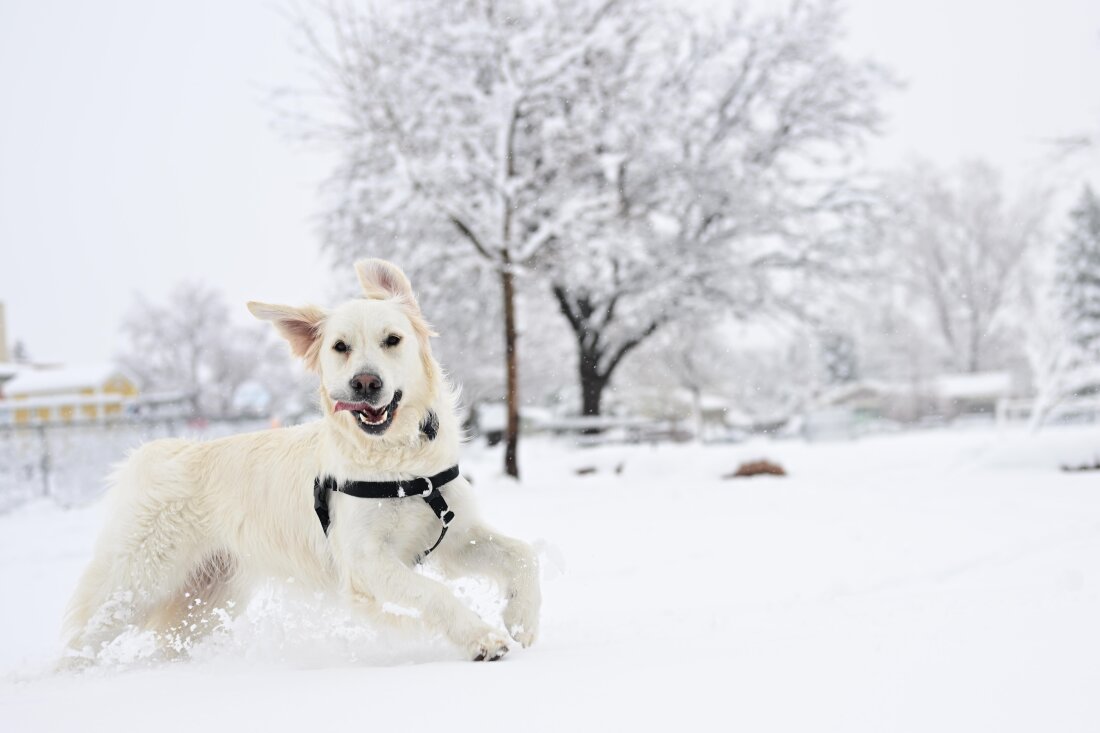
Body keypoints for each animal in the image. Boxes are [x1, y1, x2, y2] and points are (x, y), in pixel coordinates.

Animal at [63, 259, 536, 660]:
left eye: (393, 340)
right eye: (341, 347)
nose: (366, 383)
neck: (401, 467)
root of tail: (160, 450)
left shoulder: (455, 536)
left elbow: (522, 554)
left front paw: (522, 619)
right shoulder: (365, 561)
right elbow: (434, 595)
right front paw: (481, 638)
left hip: (210, 594)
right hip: (137, 581)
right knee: (83, 636)